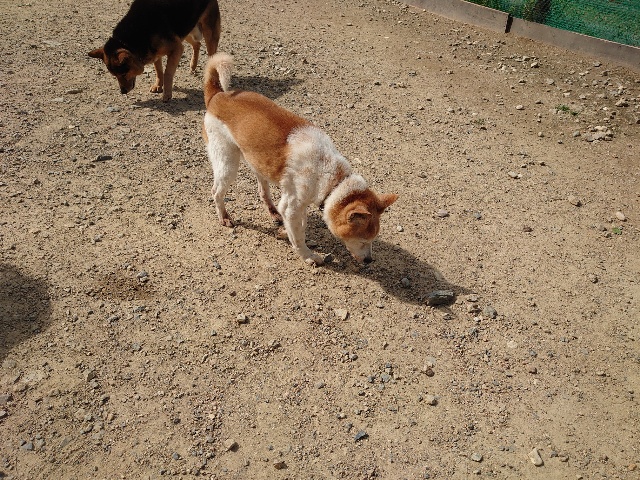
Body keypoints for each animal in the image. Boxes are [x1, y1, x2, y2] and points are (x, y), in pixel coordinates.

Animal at [88, 0, 221, 102]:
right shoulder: (157, 52)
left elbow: (167, 73)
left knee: (211, 54)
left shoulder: (176, 48)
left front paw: (167, 94)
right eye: (114, 75)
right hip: (185, 29)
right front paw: (158, 86)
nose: (123, 92)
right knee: (197, 44)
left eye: (123, 74)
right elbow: (159, 71)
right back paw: (193, 65)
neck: (129, 41)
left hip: (208, 32)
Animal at [202, 53, 398, 266]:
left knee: (263, 191)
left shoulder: (300, 203)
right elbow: (298, 236)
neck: (332, 177)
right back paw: (224, 217)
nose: (370, 260)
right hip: (227, 163)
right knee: (216, 192)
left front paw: (286, 233)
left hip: (257, 162)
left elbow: (299, 227)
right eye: (362, 239)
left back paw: (273, 212)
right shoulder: (292, 205)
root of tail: (217, 95)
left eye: (374, 239)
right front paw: (309, 256)